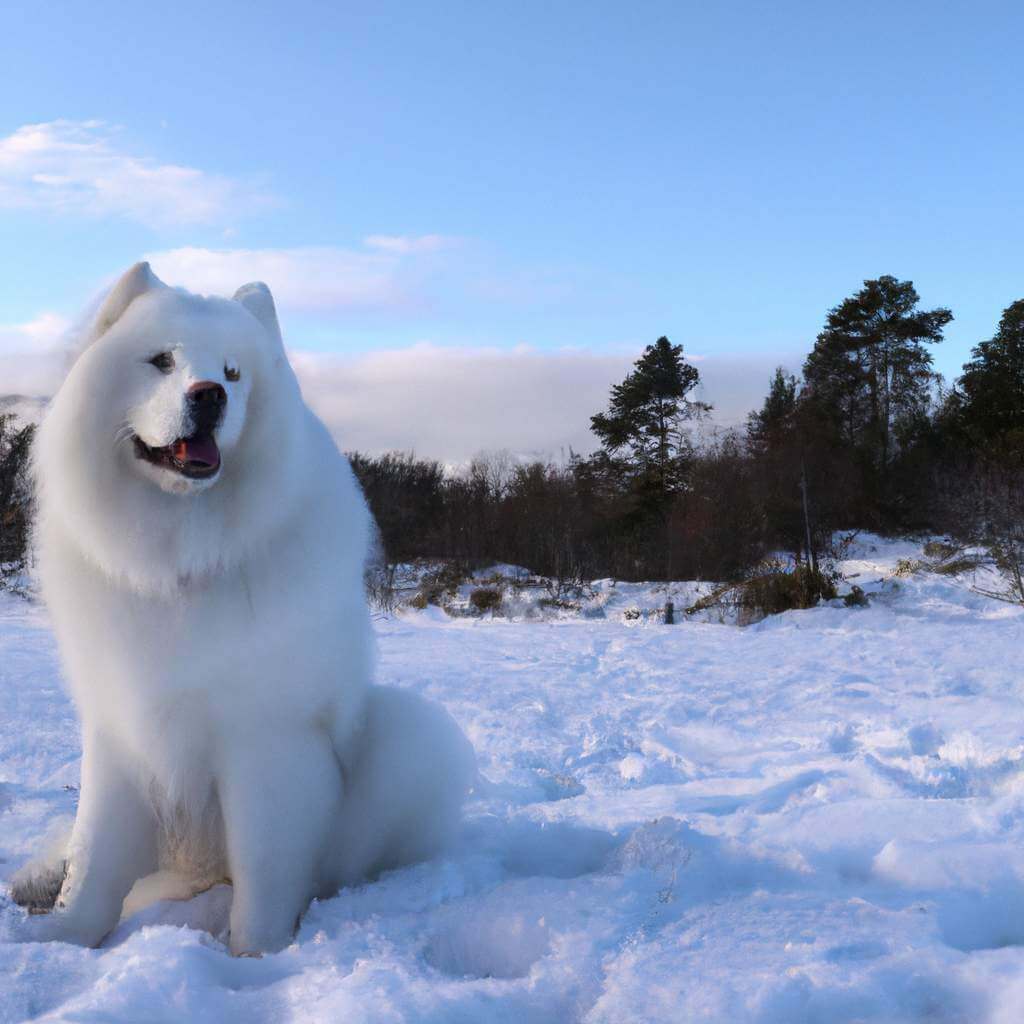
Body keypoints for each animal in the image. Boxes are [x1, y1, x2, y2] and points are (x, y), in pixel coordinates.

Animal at [14, 262, 475, 950]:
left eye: (233, 373)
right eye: (162, 361)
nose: (209, 395)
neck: (181, 556)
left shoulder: (265, 740)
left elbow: (263, 871)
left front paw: (256, 957)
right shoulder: (122, 723)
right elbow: (95, 854)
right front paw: (63, 940)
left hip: (407, 734)